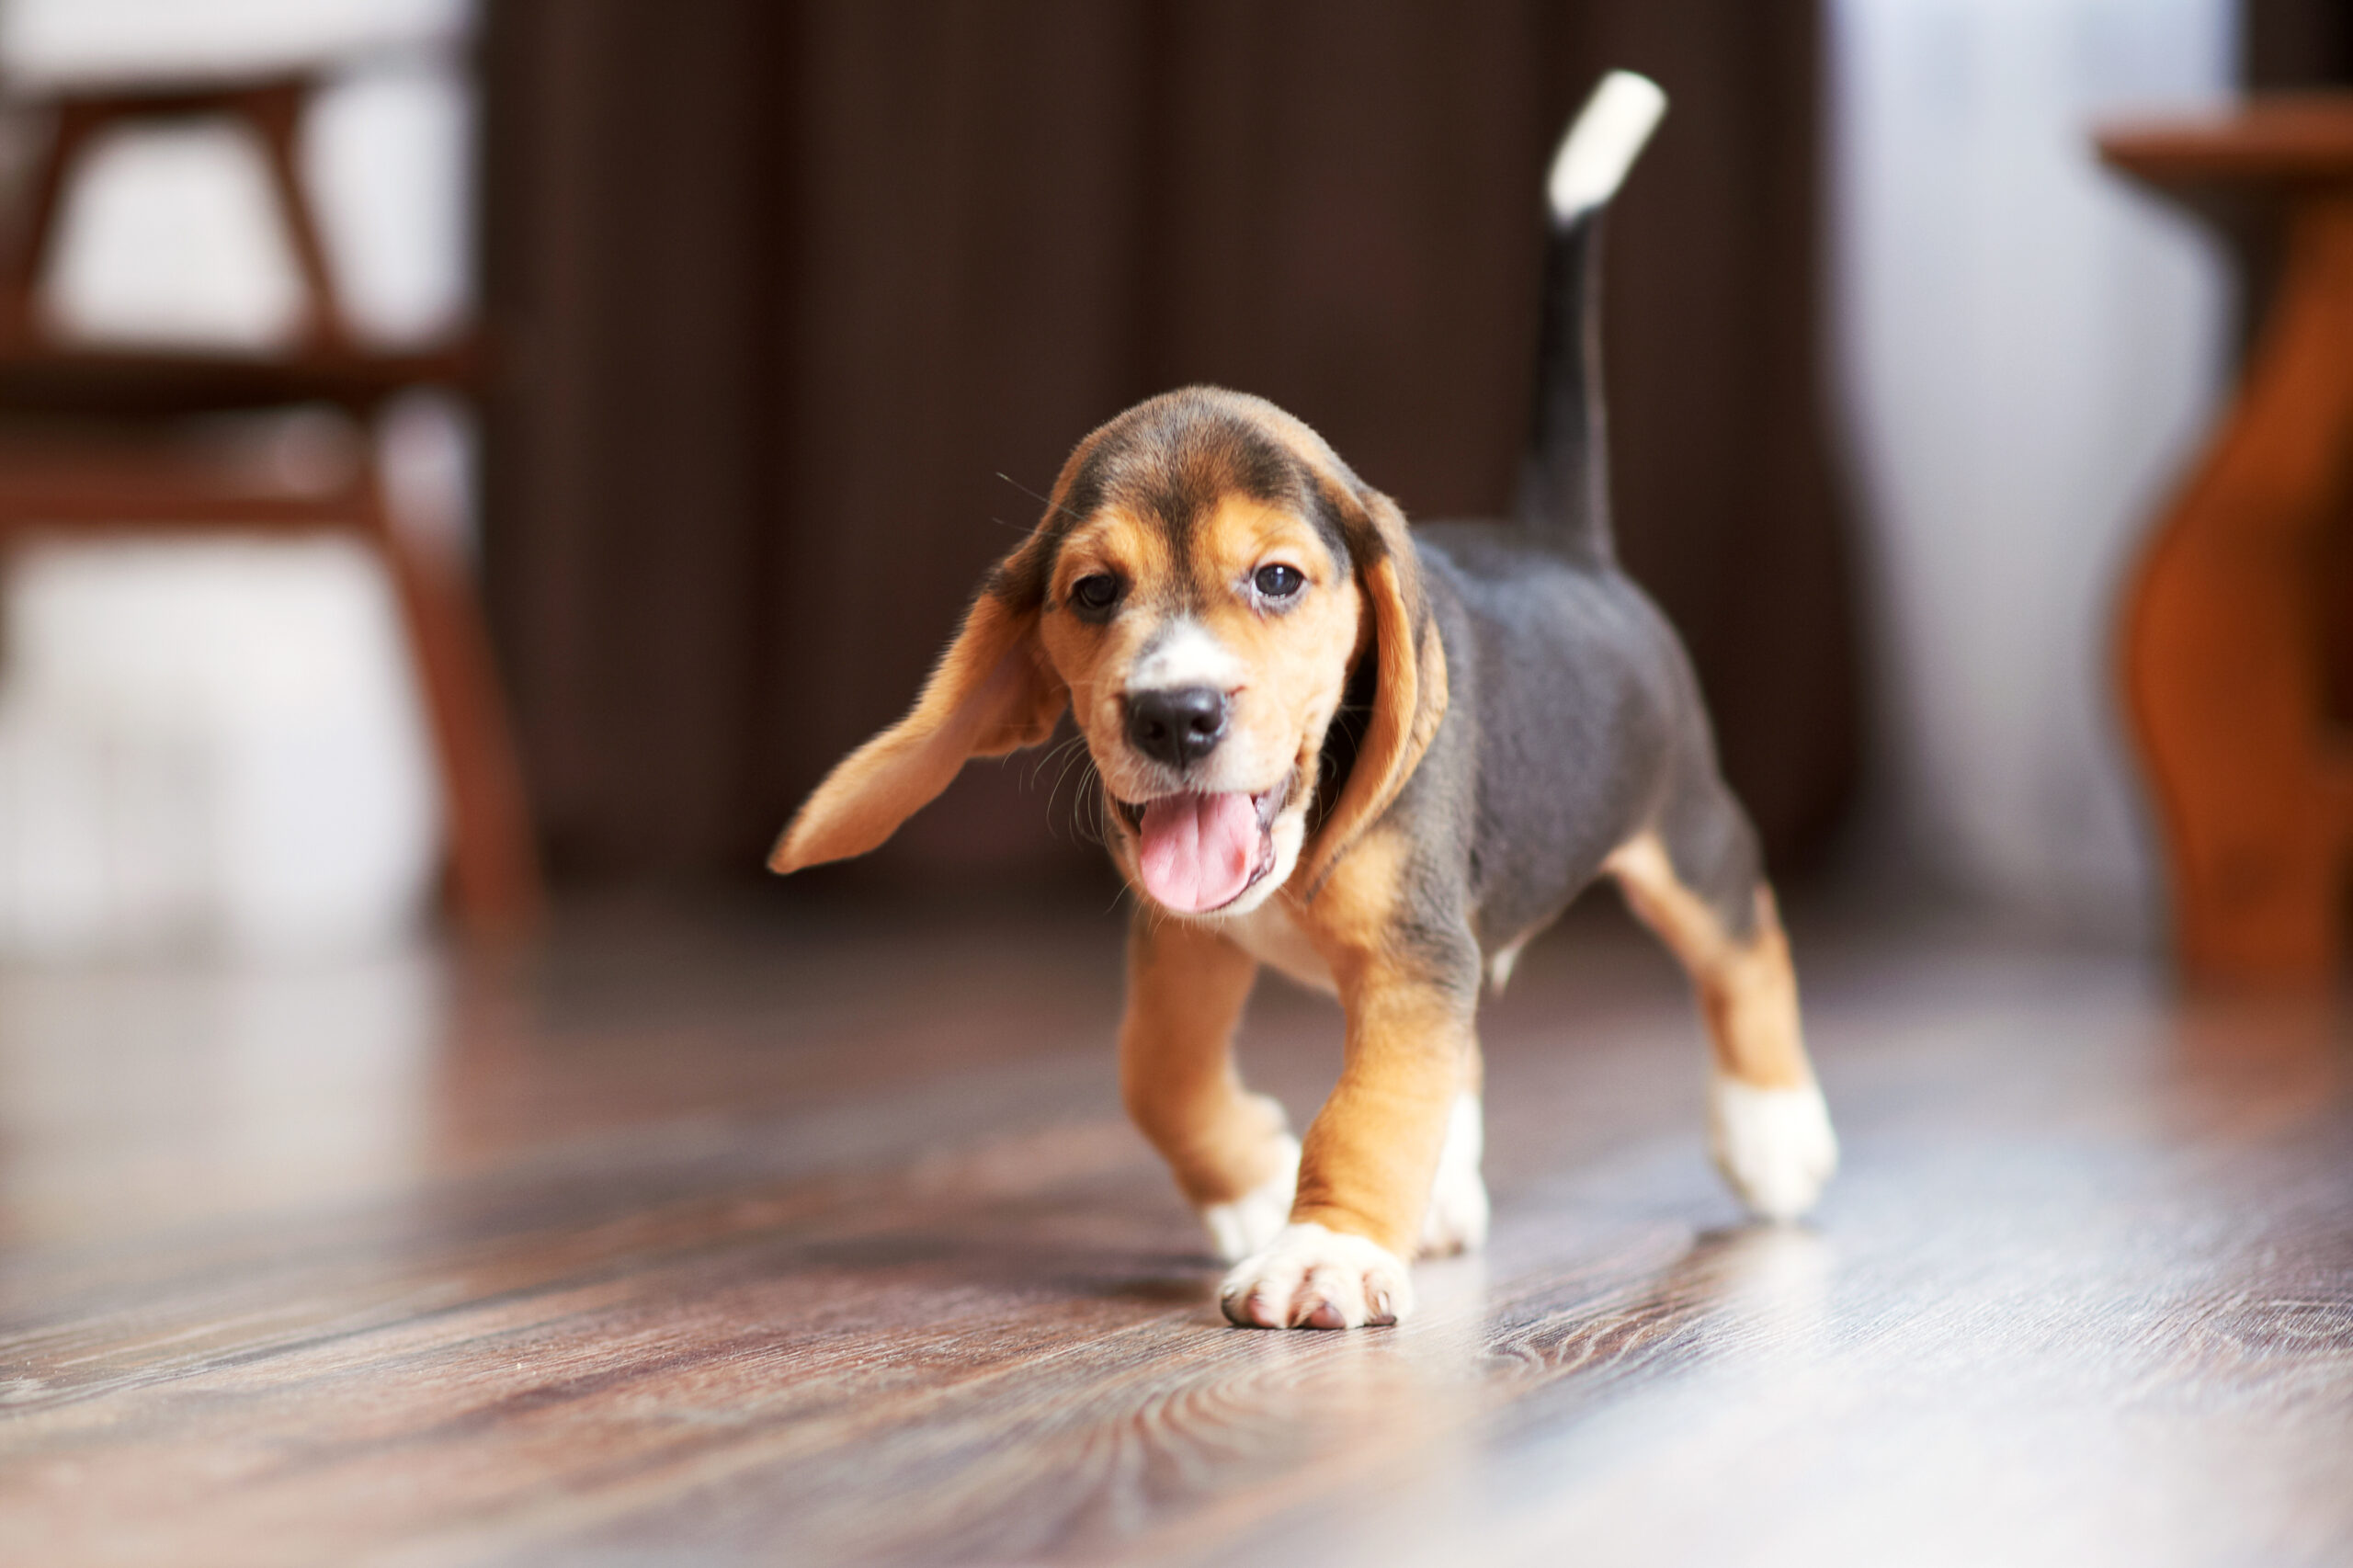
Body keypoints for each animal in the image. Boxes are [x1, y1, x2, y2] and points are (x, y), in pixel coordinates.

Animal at [771, 70, 1835, 1318]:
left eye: (1277, 578)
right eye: (1092, 591)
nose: (1174, 715)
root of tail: (1569, 544)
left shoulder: (1412, 955)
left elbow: (1372, 1104)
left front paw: (1324, 1243)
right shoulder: (1188, 941)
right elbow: (1157, 1073)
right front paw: (1249, 1182)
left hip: (1685, 832)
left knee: (1743, 943)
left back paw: (1772, 1130)